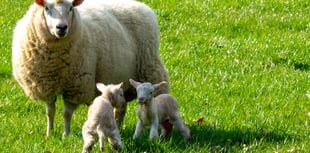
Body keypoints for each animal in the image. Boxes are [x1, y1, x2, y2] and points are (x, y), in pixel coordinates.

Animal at [11, 0, 170, 136]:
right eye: (46, 8)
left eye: (71, 8)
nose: (61, 27)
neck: (55, 62)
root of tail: (140, 5)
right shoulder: (46, 86)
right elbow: (50, 112)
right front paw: (50, 133)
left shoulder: (76, 86)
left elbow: (66, 113)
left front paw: (66, 134)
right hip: (123, 80)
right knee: (121, 107)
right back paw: (118, 126)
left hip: (150, 68)